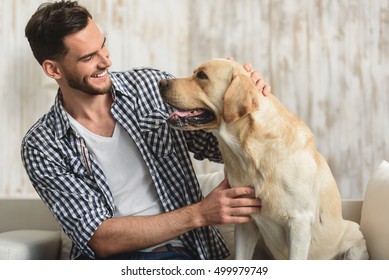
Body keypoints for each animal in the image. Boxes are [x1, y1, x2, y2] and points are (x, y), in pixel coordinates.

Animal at [157, 59, 366, 260]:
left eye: (202, 75)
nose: (161, 83)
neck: (249, 153)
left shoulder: (299, 223)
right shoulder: (244, 219)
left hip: (355, 243)